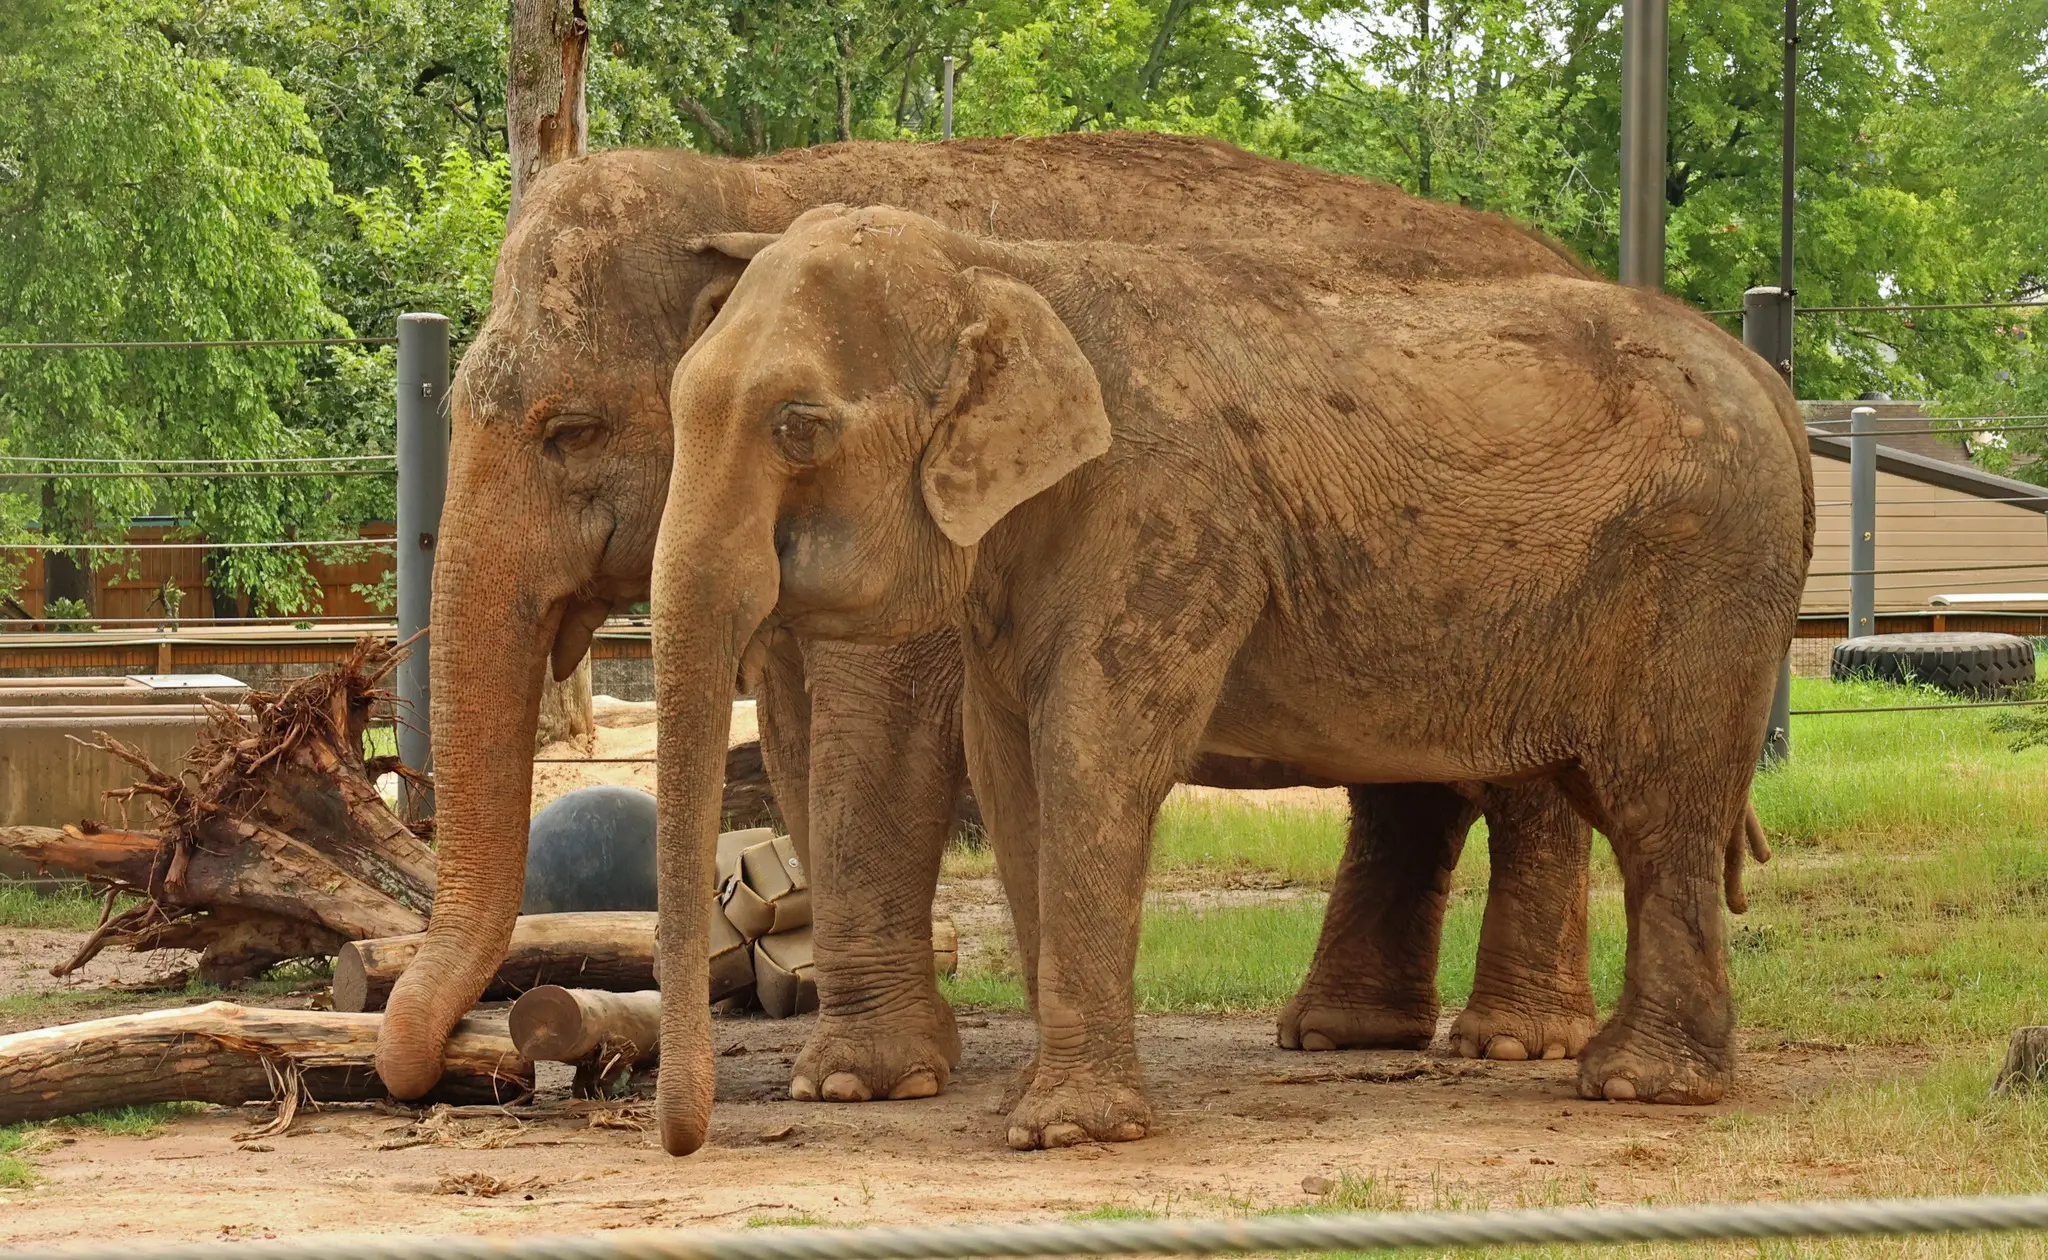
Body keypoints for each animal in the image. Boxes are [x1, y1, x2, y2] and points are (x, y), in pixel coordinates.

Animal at [374, 132, 1608, 1110]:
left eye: (569, 430)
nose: (444, 1071)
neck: (759, 180)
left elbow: (878, 727)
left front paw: (860, 1081)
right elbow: (798, 736)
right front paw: (900, 1059)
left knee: (1531, 778)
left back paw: (1514, 1044)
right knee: (1407, 784)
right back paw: (1340, 1035)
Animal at [649, 204, 1811, 1155]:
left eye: (798, 427)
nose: (689, 1143)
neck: (1007, 267)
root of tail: (1768, 381)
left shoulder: (1166, 518)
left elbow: (1093, 757)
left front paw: (1065, 1134)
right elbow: (1013, 771)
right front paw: (1024, 1110)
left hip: (1700, 578)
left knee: (1658, 806)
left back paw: (1633, 1088)